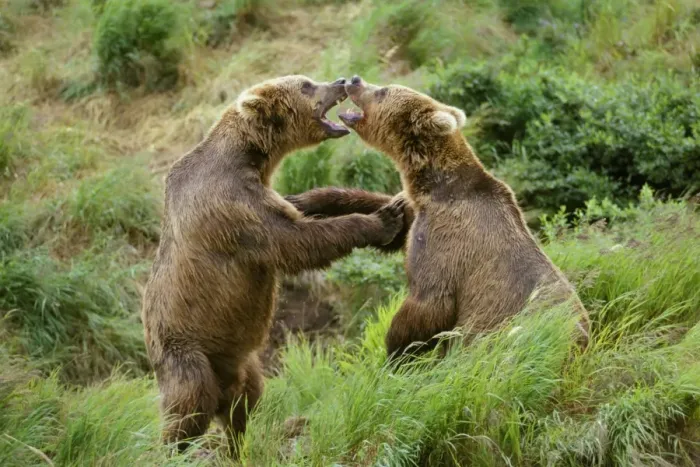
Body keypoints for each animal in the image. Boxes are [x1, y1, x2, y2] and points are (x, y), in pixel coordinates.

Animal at [141, 75, 406, 453]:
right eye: (307, 85)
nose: (340, 80)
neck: (250, 157)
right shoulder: (233, 207)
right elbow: (292, 241)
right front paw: (383, 218)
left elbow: (296, 221)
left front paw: (314, 199)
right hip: (186, 352)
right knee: (189, 406)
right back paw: (174, 447)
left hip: (242, 362)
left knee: (244, 403)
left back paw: (238, 446)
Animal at [328, 75, 590, 361]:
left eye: (384, 91)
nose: (355, 80)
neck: (434, 186)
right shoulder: (418, 213)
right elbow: (396, 232)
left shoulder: (446, 238)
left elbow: (429, 300)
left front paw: (395, 351)